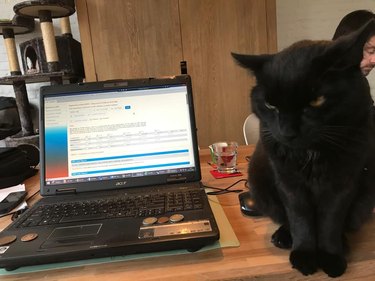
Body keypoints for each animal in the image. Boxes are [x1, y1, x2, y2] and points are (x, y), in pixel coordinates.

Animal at [232, 20, 375, 278]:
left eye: (317, 100)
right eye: (270, 104)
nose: (287, 132)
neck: (311, 153)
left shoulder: (342, 183)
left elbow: (330, 221)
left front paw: (331, 257)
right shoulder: (289, 183)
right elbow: (300, 219)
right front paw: (304, 256)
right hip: (259, 182)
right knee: (286, 218)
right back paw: (283, 236)